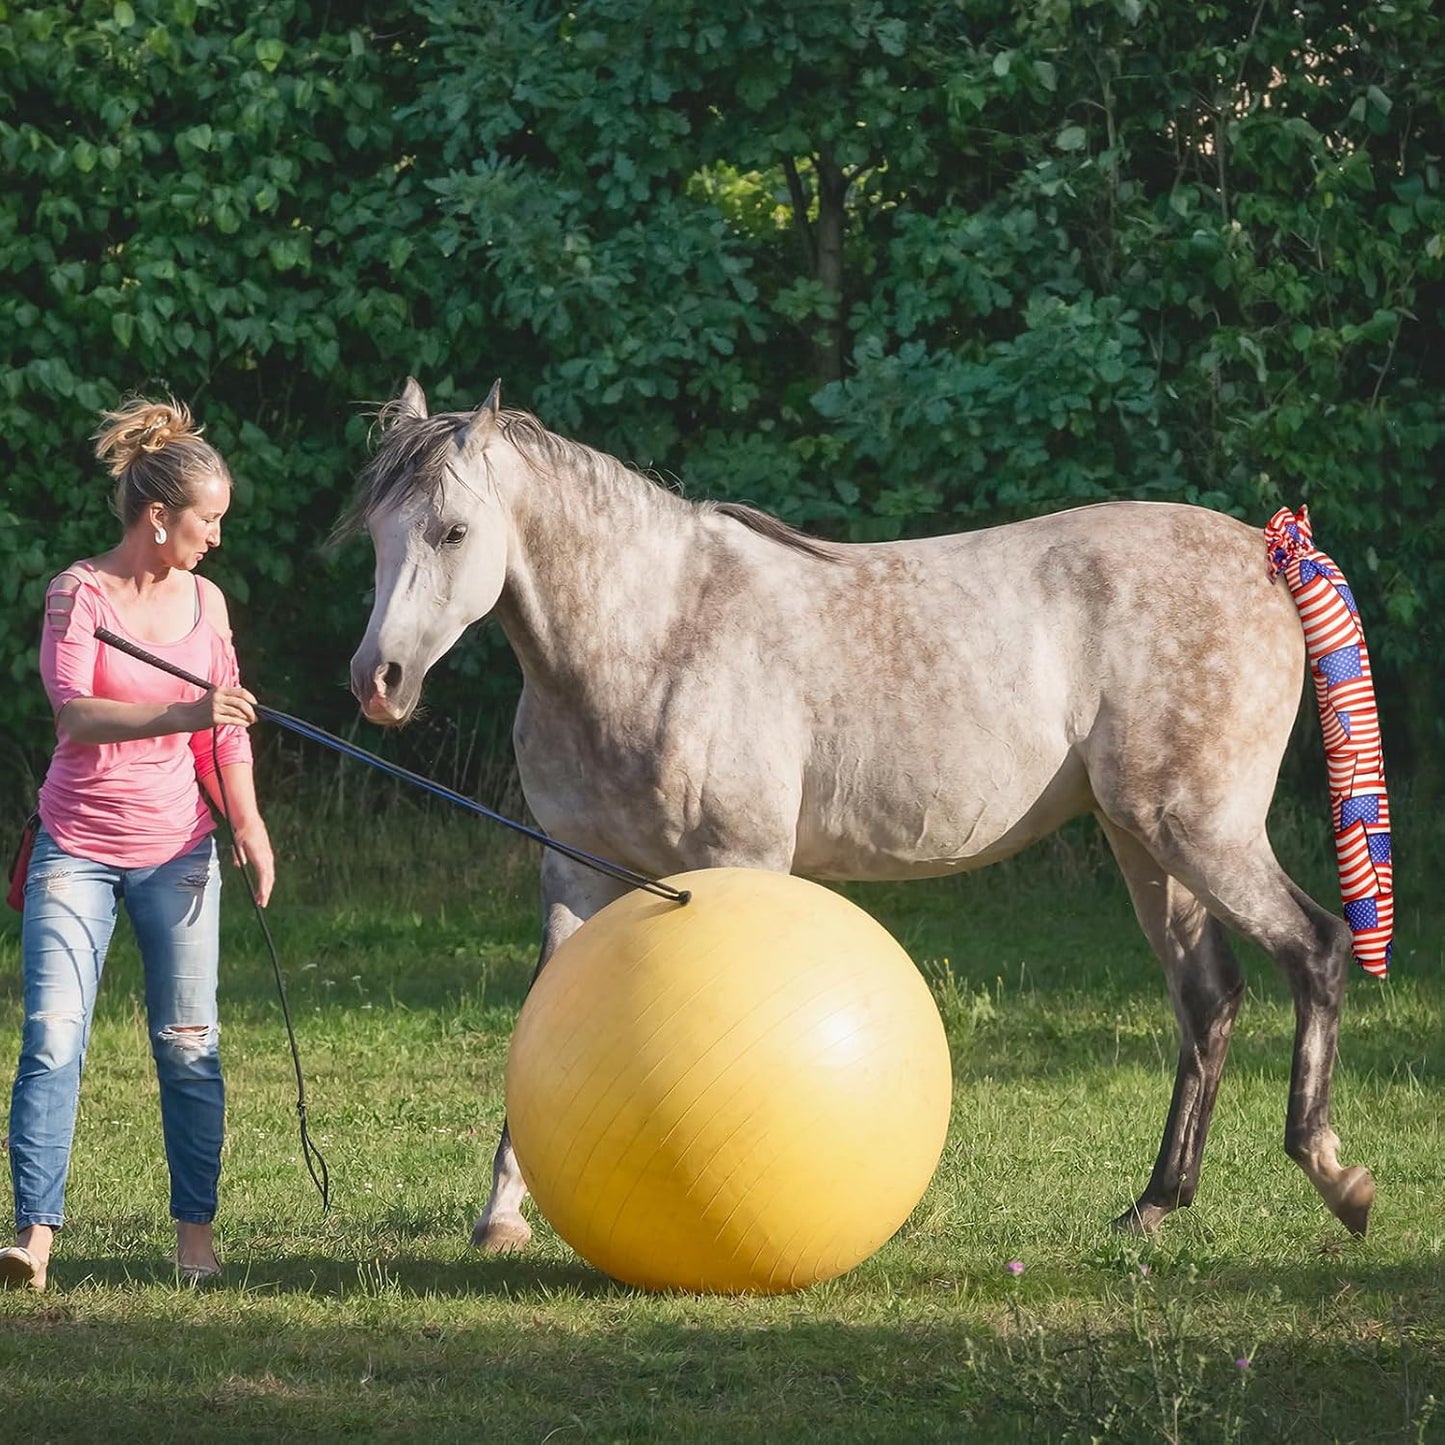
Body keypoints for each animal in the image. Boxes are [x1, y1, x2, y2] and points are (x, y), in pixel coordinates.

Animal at [340, 377, 1378, 1254]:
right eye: (377, 534)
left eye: (454, 531)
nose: (377, 681)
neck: (653, 635)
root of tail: (1263, 550)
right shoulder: (573, 868)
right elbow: (536, 1020)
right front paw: (500, 1218)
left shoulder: (741, 858)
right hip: (1143, 840)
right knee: (1207, 996)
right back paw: (1154, 1204)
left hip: (1199, 831)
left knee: (1315, 948)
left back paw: (1335, 1177)